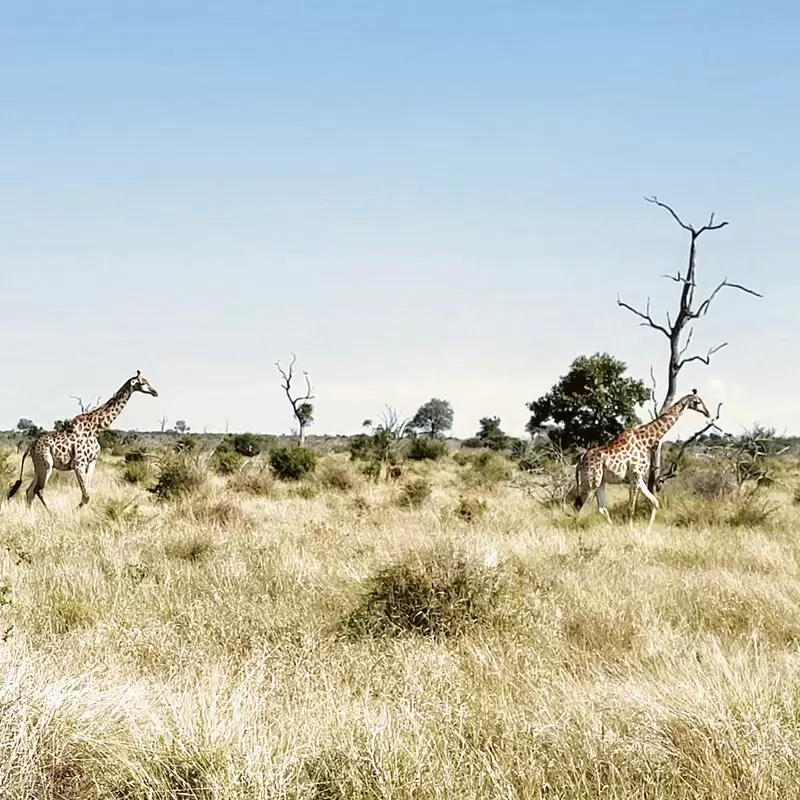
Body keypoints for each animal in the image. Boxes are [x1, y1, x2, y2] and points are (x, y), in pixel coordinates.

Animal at [7, 370, 158, 510]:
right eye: (143, 383)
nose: (155, 392)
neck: (96, 428)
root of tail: (30, 446)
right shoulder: (78, 463)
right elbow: (86, 495)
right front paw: (75, 511)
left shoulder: (92, 462)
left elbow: (88, 492)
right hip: (47, 463)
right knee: (39, 489)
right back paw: (52, 514)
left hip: (39, 466)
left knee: (30, 491)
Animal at [572, 388, 708, 532]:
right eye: (698, 402)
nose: (707, 412)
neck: (647, 441)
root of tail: (580, 462)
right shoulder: (636, 475)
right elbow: (631, 508)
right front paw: (631, 531)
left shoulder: (638, 477)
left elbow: (655, 502)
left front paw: (647, 531)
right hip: (591, 481)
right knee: (579, 506)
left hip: (600, 482)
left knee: (601, 508)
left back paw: (613, 529)